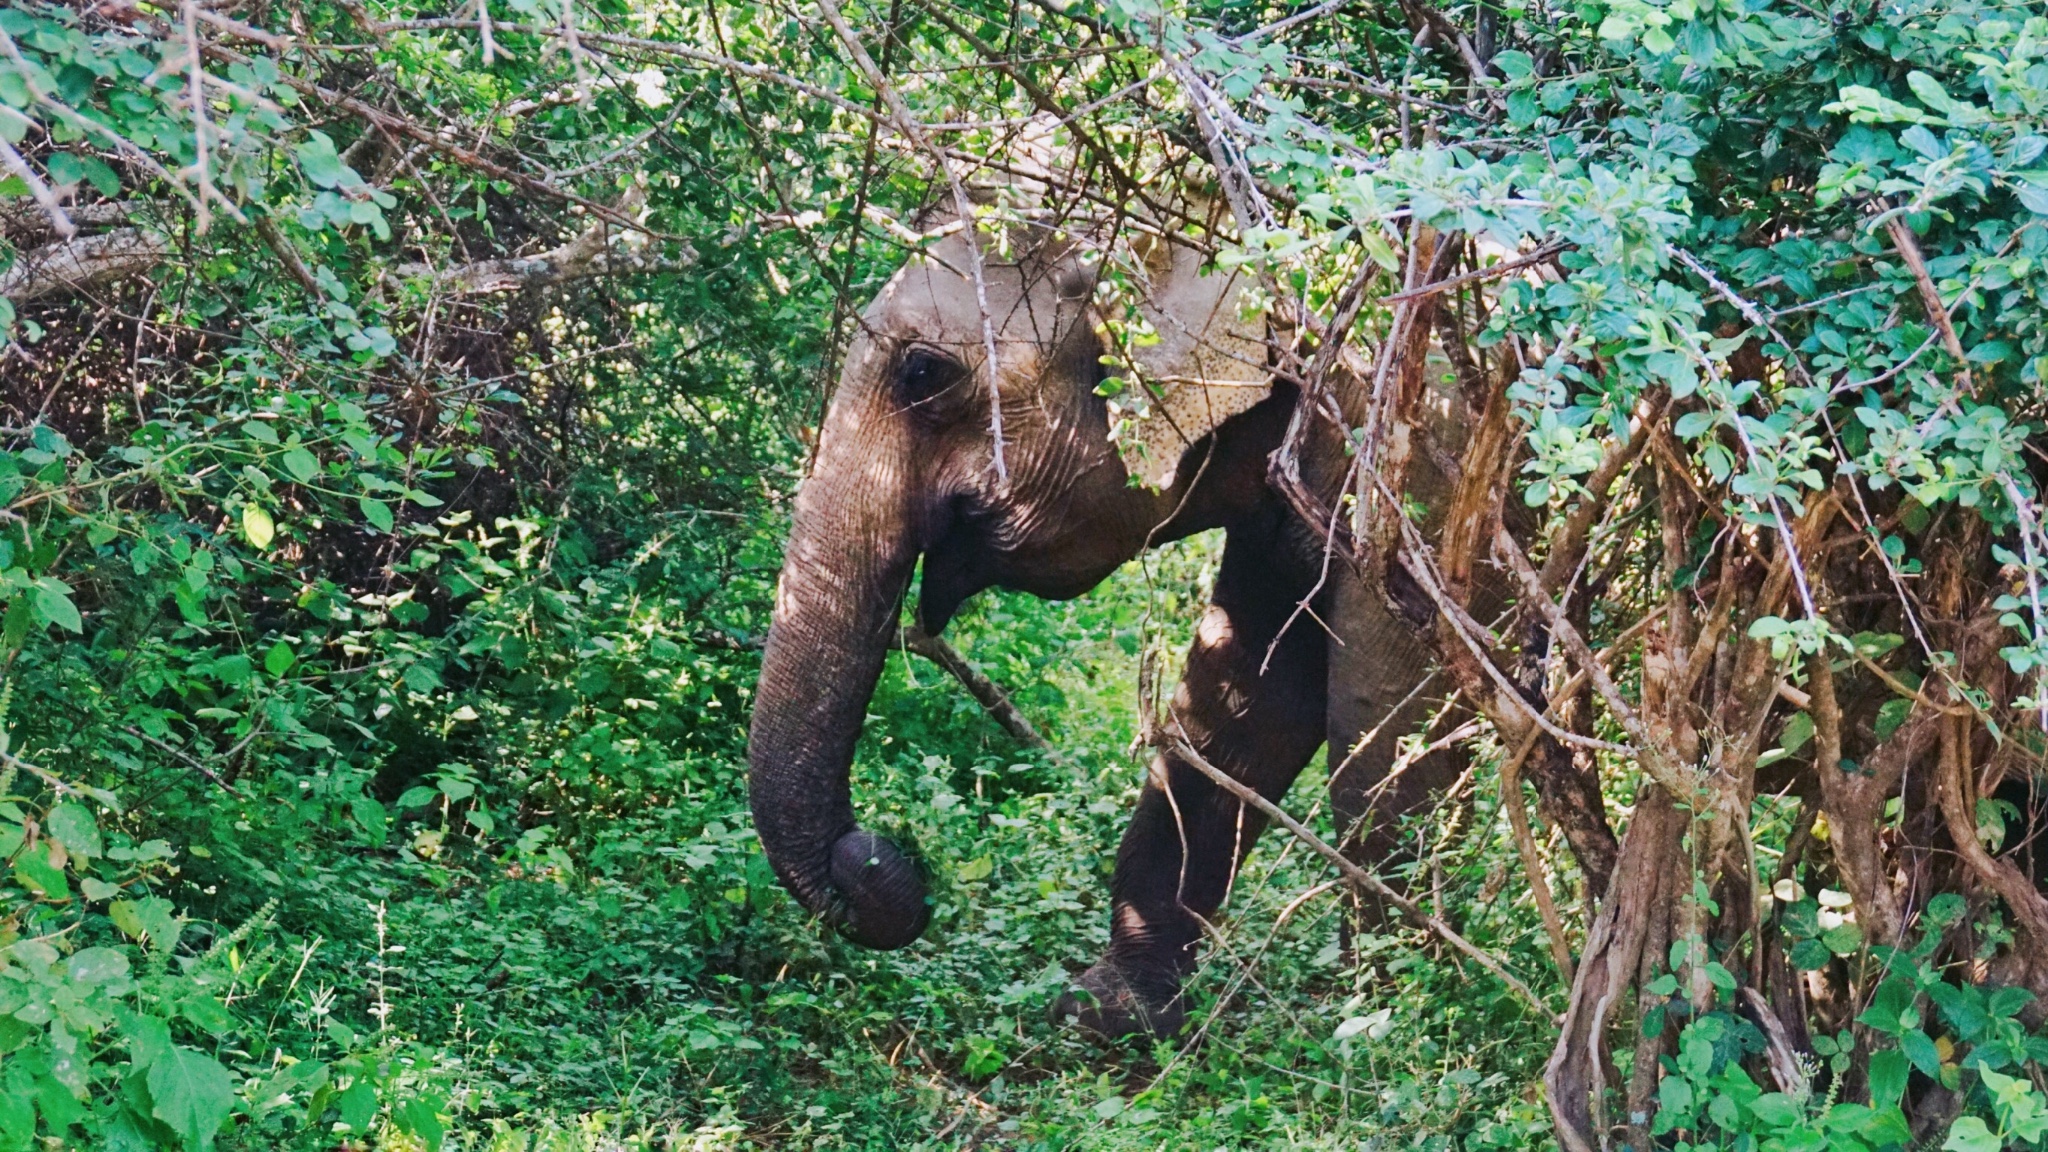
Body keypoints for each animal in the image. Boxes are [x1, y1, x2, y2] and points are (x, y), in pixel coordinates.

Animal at [753, 201, 1613, 1037]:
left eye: (923, 372)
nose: (875, 855)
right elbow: (1243, 710)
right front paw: (1110, 1015)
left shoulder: (1445, 468)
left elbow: (1387, 719)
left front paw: (1383, 1028)